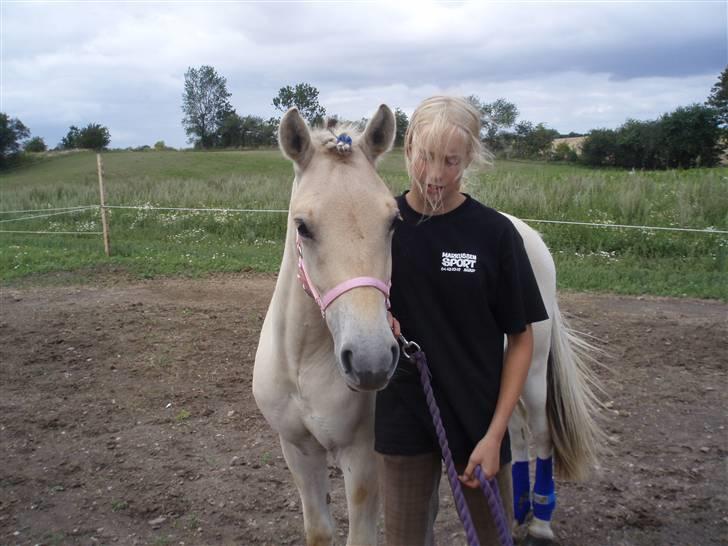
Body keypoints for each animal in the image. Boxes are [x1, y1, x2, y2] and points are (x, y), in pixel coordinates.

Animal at [253, 104, 400, 540]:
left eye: (393, 222)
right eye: (302, 226)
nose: (371, 362)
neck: (303, 364)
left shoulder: (362, 456)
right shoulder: (298, 450)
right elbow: (318, 530)